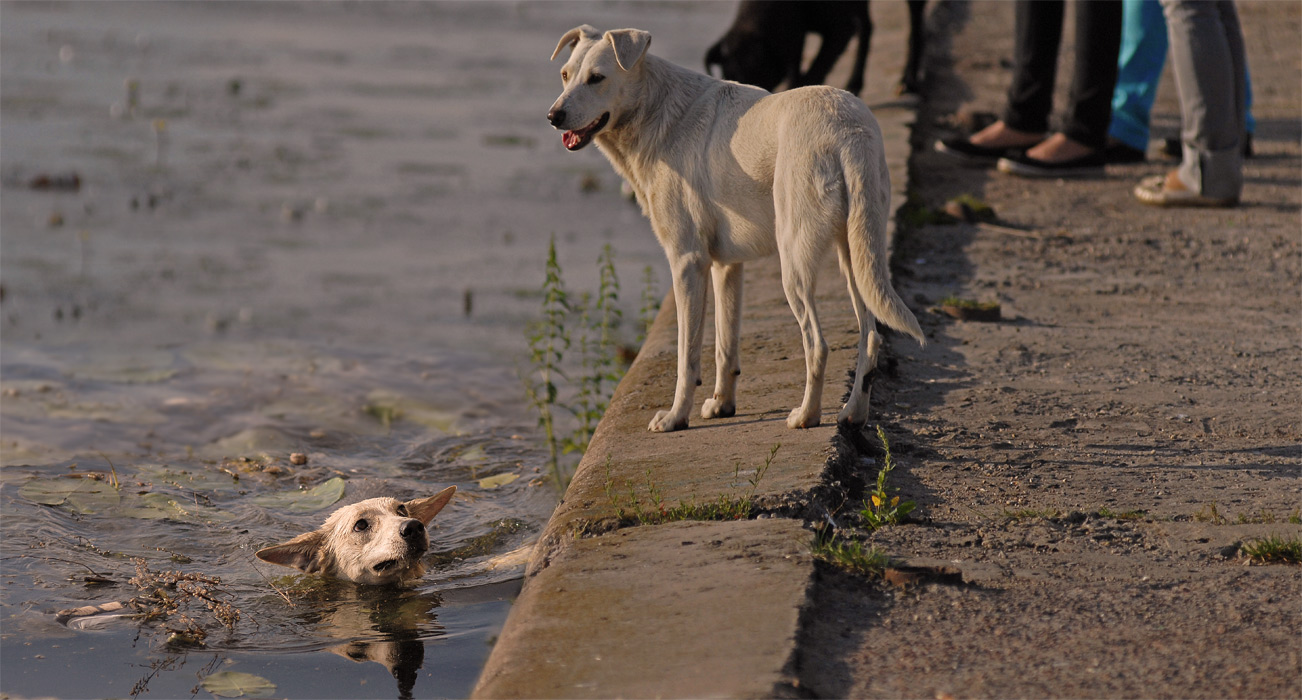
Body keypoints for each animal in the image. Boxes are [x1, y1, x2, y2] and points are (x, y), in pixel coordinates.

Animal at [544, 24, 921, 429]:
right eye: (564, 75)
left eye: (596, 78)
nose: (553, 115)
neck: (655, 110)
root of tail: (848, 131)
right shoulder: (726, 266)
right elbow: (725, 345)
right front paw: (722, 405)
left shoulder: (688, 263)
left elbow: (687, 355)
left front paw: (675, 417)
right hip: (856, 256)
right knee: (871, 337)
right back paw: (852, 414)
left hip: (795, 264)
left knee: (817, 344)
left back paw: (806, 415)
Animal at [703, 0, 927, 96]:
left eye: (754, 75)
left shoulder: (840, 27)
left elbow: (813, 70)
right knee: (867, 26)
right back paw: (855, 82)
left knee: (915, 20)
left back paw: (908, 80)